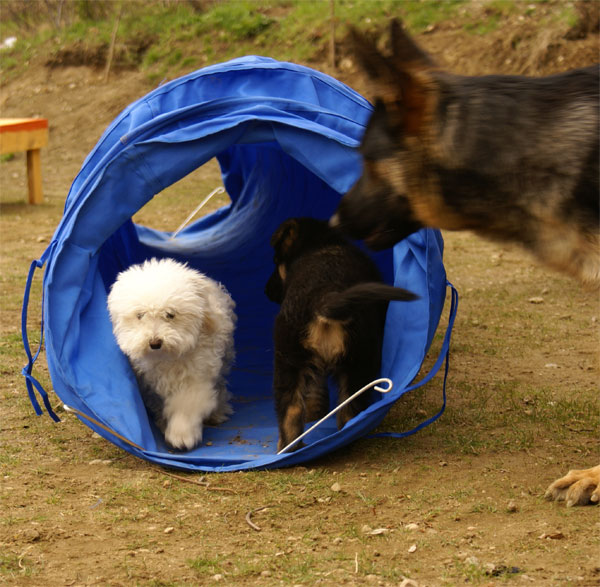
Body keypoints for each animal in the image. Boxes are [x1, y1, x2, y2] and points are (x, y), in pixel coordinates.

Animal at [108, 258, 234, 450]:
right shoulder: (148, 384)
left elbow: (186, 405)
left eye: (170, 314)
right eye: (140, 315)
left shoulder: (196, 378)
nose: (155, 343)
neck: (167, 358)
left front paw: (181, 434)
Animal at [266, 218, 418, 452]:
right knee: (349, 409)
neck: (321, 244)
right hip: (360, 359)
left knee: (291, 409)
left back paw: (289, 449)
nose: (267, 291)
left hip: (290, 358)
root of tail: (325, 295)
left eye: (276, 261)